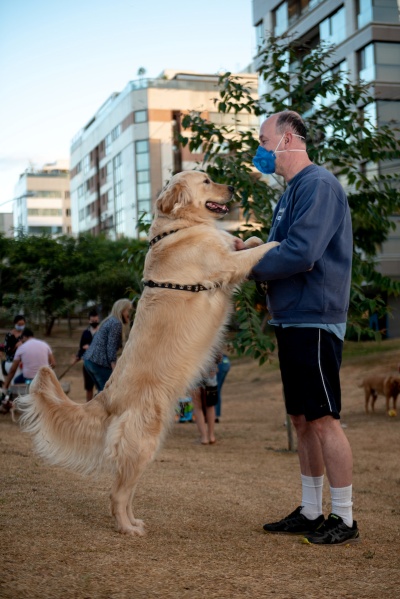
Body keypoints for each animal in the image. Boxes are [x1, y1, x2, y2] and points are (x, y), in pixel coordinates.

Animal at [14, 171, 278, 536]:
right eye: (207, 180)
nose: (232, 188)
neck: (180, 226)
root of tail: (106, 397)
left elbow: (247, 243)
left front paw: (249, 237)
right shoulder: (224, 264)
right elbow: (259, 250)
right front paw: (276, 240)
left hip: (146, 446)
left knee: (126, 491)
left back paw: (134, 521)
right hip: (143, 442)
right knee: (116, 493)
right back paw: (128, 529)